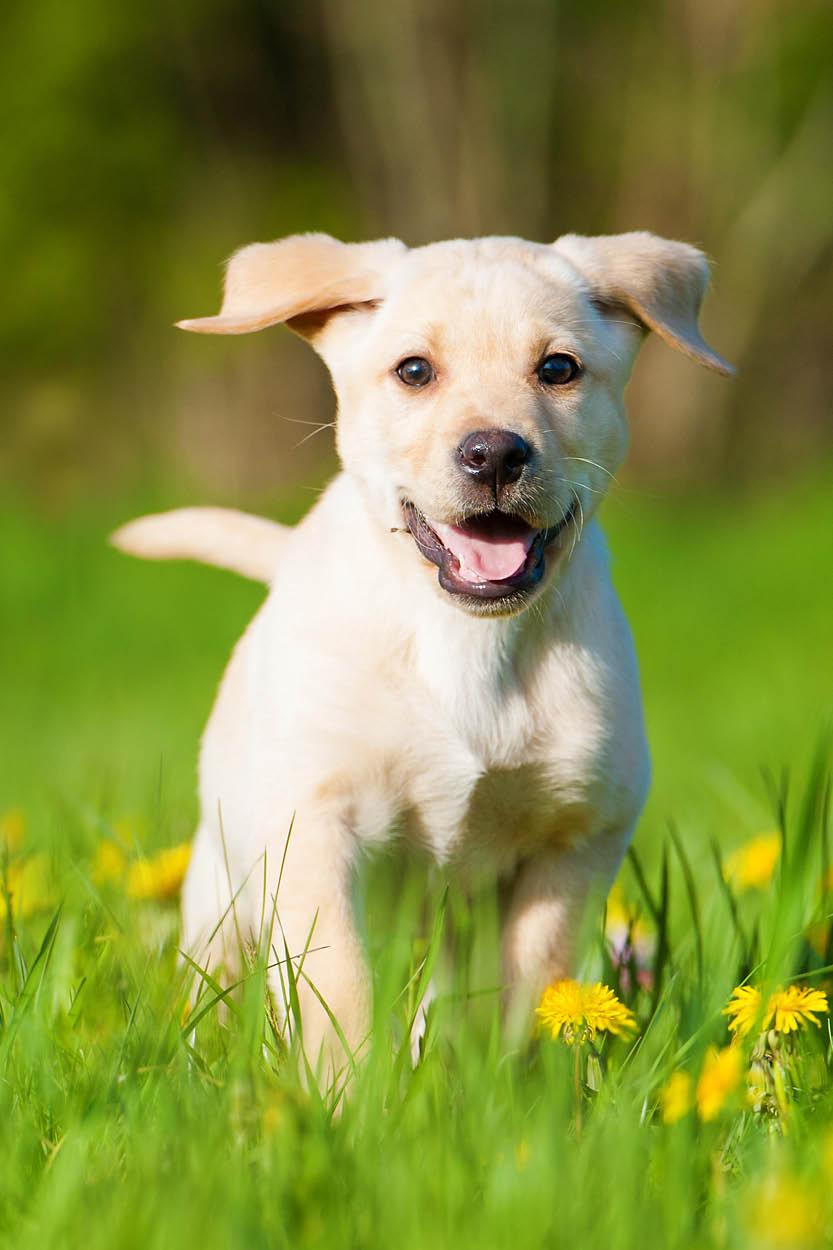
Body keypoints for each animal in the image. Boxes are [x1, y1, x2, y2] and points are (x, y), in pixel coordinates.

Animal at [115, 230, 725, 1080]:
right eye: (413, 371)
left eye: (557, 368)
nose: (494, 454)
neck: (464, 639)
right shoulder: (312, 830)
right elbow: (337, 987)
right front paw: (341, 1097)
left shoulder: (572, 840)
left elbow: (532, 989)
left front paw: (517, 1095)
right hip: (223, 883)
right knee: (220, 978)